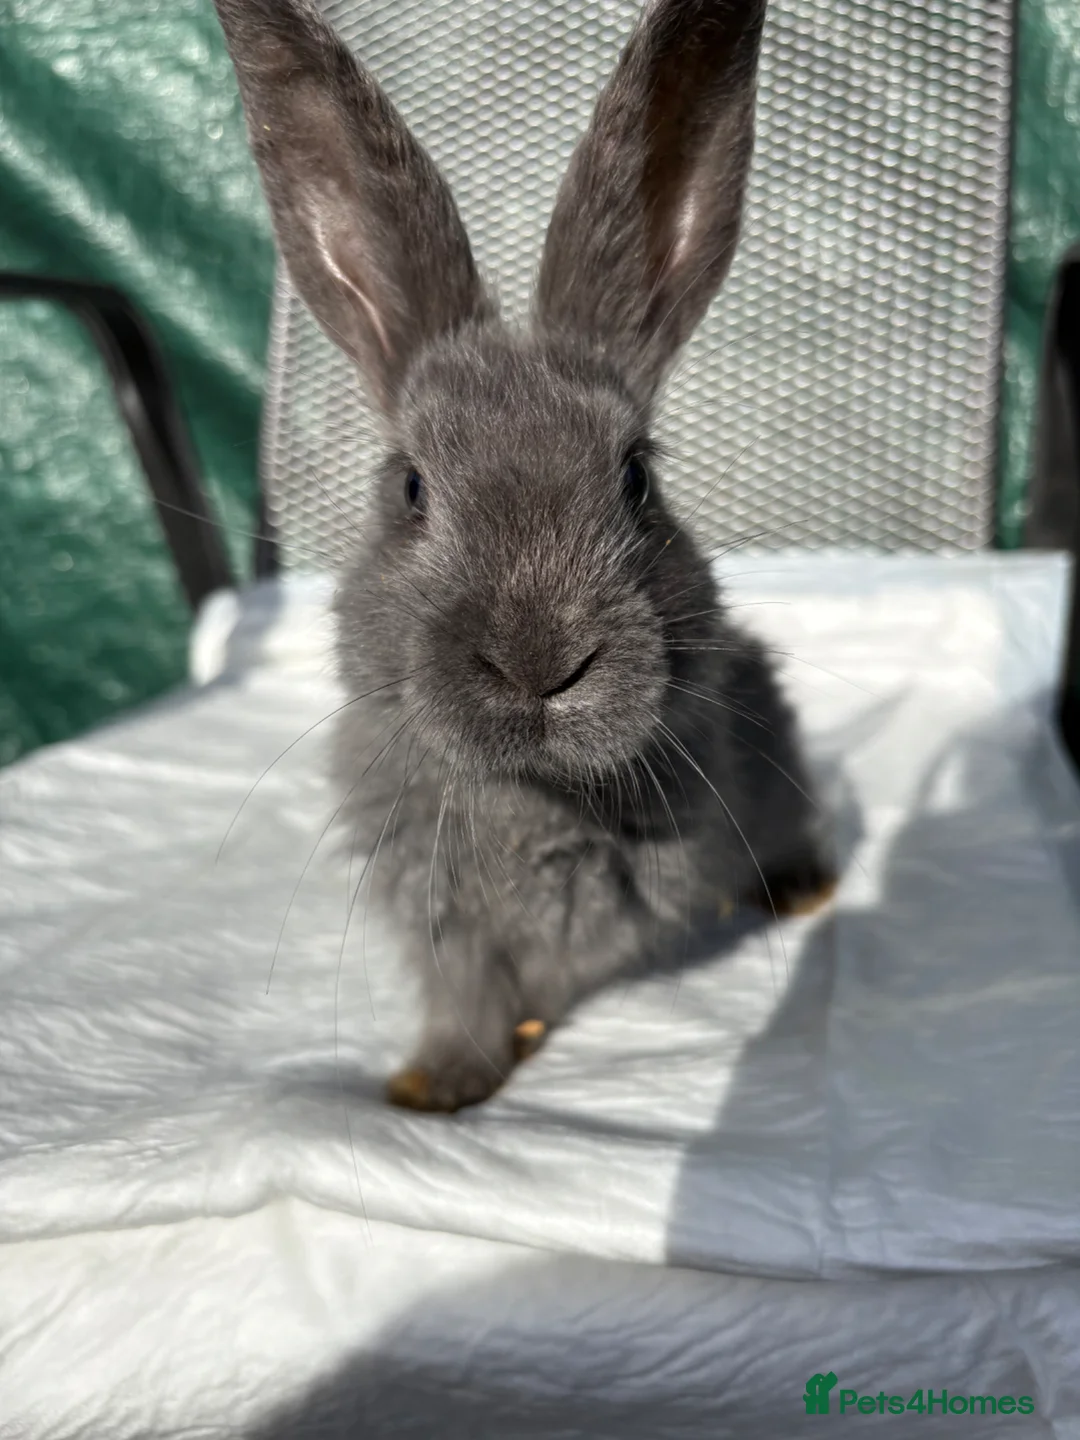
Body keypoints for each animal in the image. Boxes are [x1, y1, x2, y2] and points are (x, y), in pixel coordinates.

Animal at [214, 0, 836, 1111]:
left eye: (636, 478)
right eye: (411, 488)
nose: (539, 664)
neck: (533, 790)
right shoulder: (443, 922)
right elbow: (469, 997)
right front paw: (437, 1084)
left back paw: (804, 887)